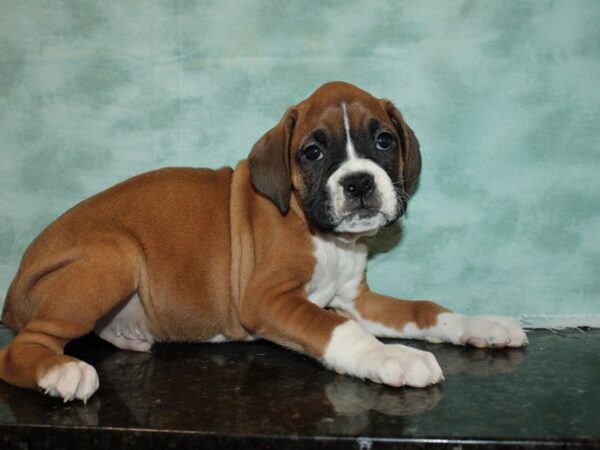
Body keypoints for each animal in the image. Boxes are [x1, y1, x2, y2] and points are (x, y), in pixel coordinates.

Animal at [0, 82, 524, 402]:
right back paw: (60, 371)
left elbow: (424, 310)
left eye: (384, 141)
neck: (325, 237)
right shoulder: (267, 299)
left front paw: (482, 324)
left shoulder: (358, 299)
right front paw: (391, 356)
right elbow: (338, 330)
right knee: (22, 347)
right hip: (116, 256)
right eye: (312, 152)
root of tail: (15, 287)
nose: (357, 183)